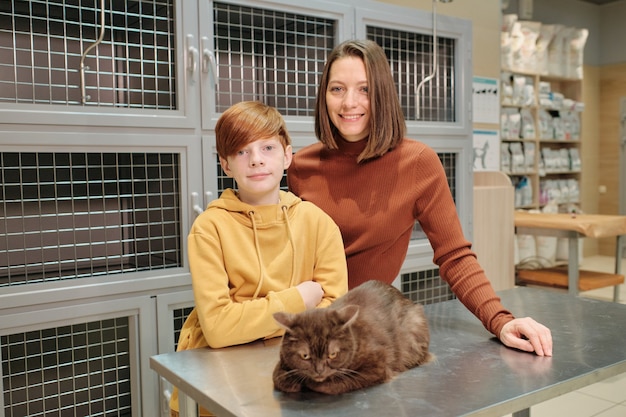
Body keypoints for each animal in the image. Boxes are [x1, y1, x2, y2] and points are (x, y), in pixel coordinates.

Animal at [270, 280, 432, 394]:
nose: (319, 370)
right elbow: (277, 377)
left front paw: (308, 383)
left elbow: (332, 384)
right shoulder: (282, 361)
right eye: (305, 356)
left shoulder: (377, 367)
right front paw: (293, 380)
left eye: (333, 354)